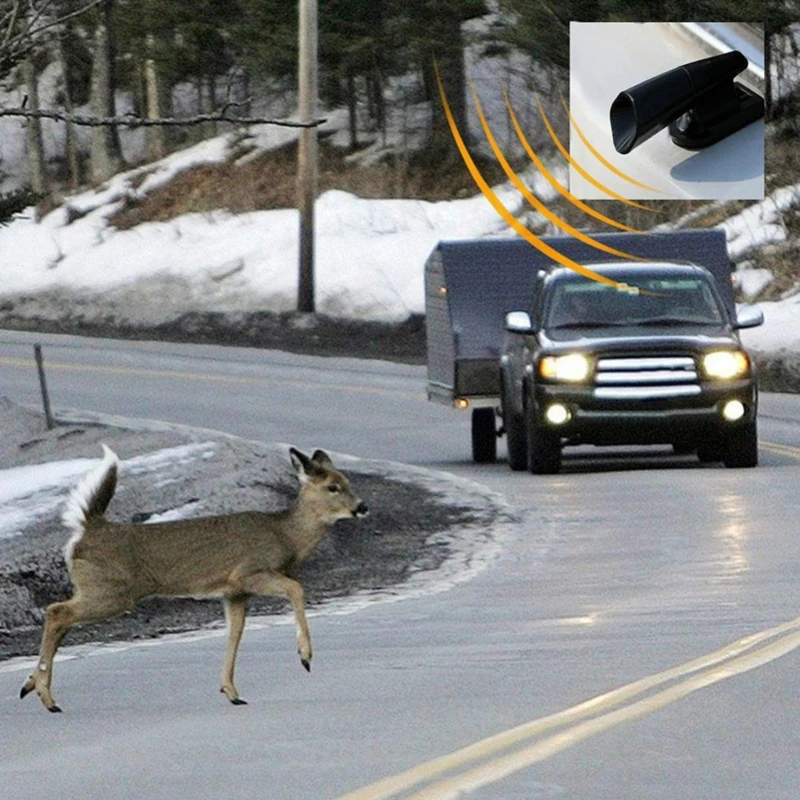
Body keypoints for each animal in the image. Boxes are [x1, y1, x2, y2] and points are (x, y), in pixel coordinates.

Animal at [20, 444, 368, 712]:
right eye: (332, 486)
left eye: (348, 482)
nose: (362, 506)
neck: (286, 537)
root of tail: (87, 529)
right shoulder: (249, 572)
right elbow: (296, 588)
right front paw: (305, 656)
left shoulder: (234, 593)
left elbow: (235, 634)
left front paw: (231, 691)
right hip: (112, 590)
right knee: (56, 612)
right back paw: (47, 697)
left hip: (96, 589)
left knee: (62, 619)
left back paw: (31, 685)